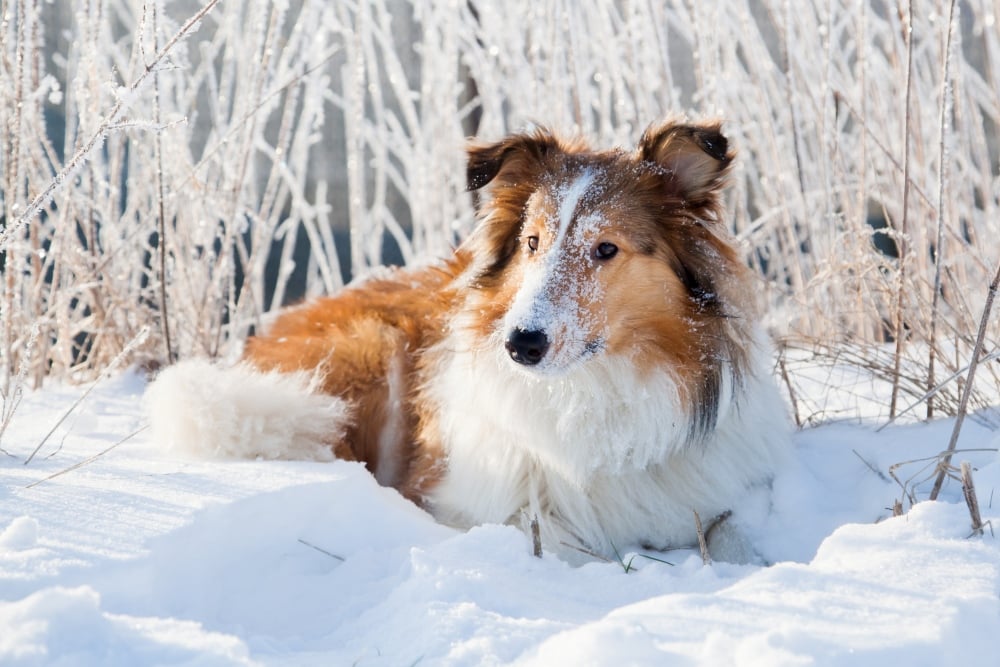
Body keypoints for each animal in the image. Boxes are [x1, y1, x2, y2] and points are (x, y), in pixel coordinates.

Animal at [148, 120, 788, 564]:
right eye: (532, 242)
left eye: (606, 248)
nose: (521, 344)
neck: (594, 392)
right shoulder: (468, 504)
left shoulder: (708, 493)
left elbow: (734, 537)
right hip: (369, 350)